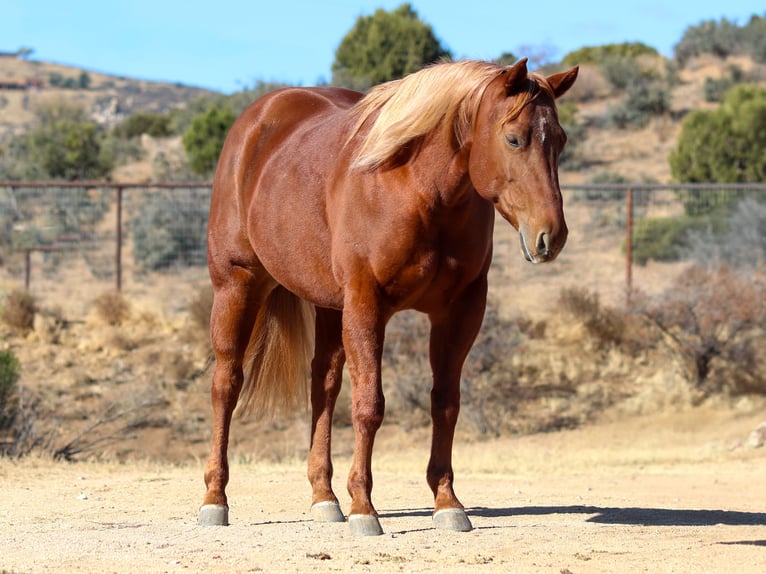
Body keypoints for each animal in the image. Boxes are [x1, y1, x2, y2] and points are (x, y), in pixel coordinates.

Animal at [201, 57, 580, 536]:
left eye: (560, 141)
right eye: (514, 138)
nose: (552, 235)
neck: (419, 189)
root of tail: (257, 120)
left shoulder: (460, 311)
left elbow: (445, 403)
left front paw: (447, 502)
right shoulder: (367, 303)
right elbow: (370, 405)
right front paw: (364, 507)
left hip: (329, 306)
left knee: (322, 387)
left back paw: (324, 498)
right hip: (237, 284)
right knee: (226, 384)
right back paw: (215, 499)